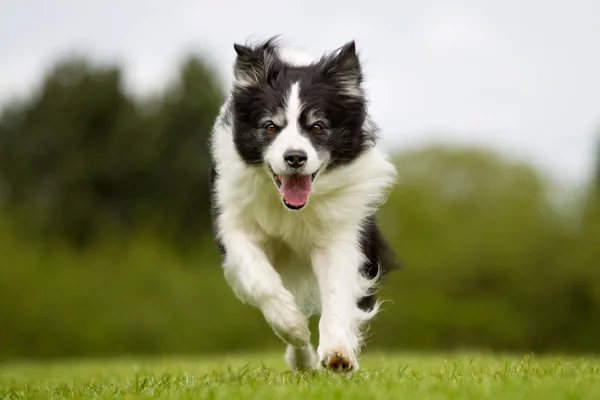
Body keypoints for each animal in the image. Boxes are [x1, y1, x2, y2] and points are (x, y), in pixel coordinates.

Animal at [209, 36, 400, 372]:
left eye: (317, 127)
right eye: (270, 127)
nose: (295, 157)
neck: (291, 210)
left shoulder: (341, 234)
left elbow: (337, 290)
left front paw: (338, 352)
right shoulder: (233, 224)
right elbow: (261, 279)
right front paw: (294, 326)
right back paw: (300, 355)